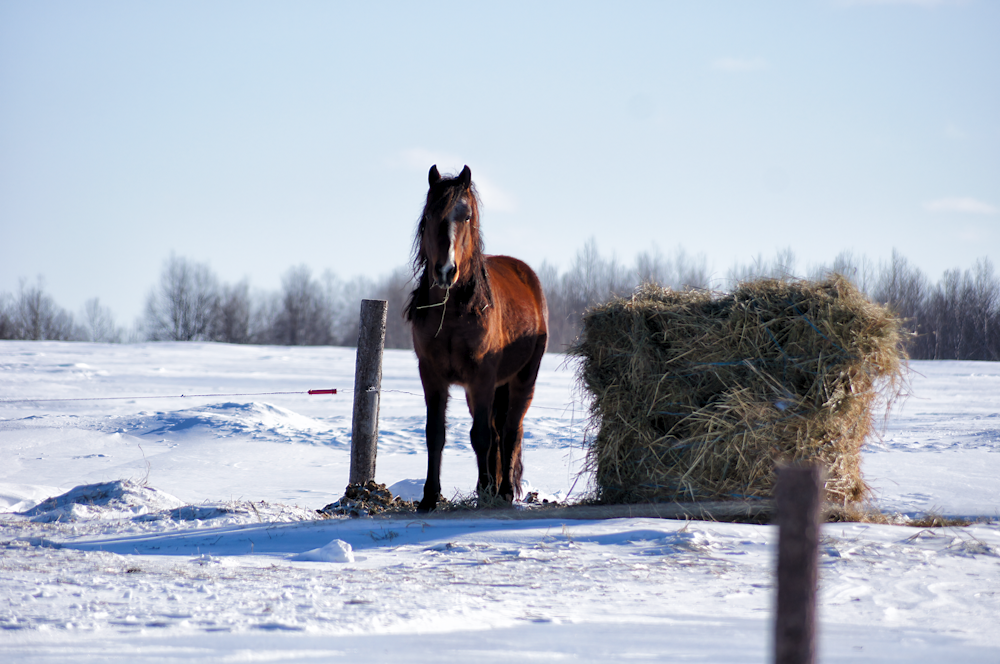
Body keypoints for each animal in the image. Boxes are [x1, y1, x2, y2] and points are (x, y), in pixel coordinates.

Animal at [404, 163, 552, 510]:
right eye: (429, 214)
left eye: (467, 215)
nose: (446, 270)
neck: (454, 312)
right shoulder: (432, 374)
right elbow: (435, 433)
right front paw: (429, 497)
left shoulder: (482, 375)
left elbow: (481, 436)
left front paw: (485, 489)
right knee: (499, 433)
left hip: (523, 379)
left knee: (510, 431)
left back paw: (504, 491)